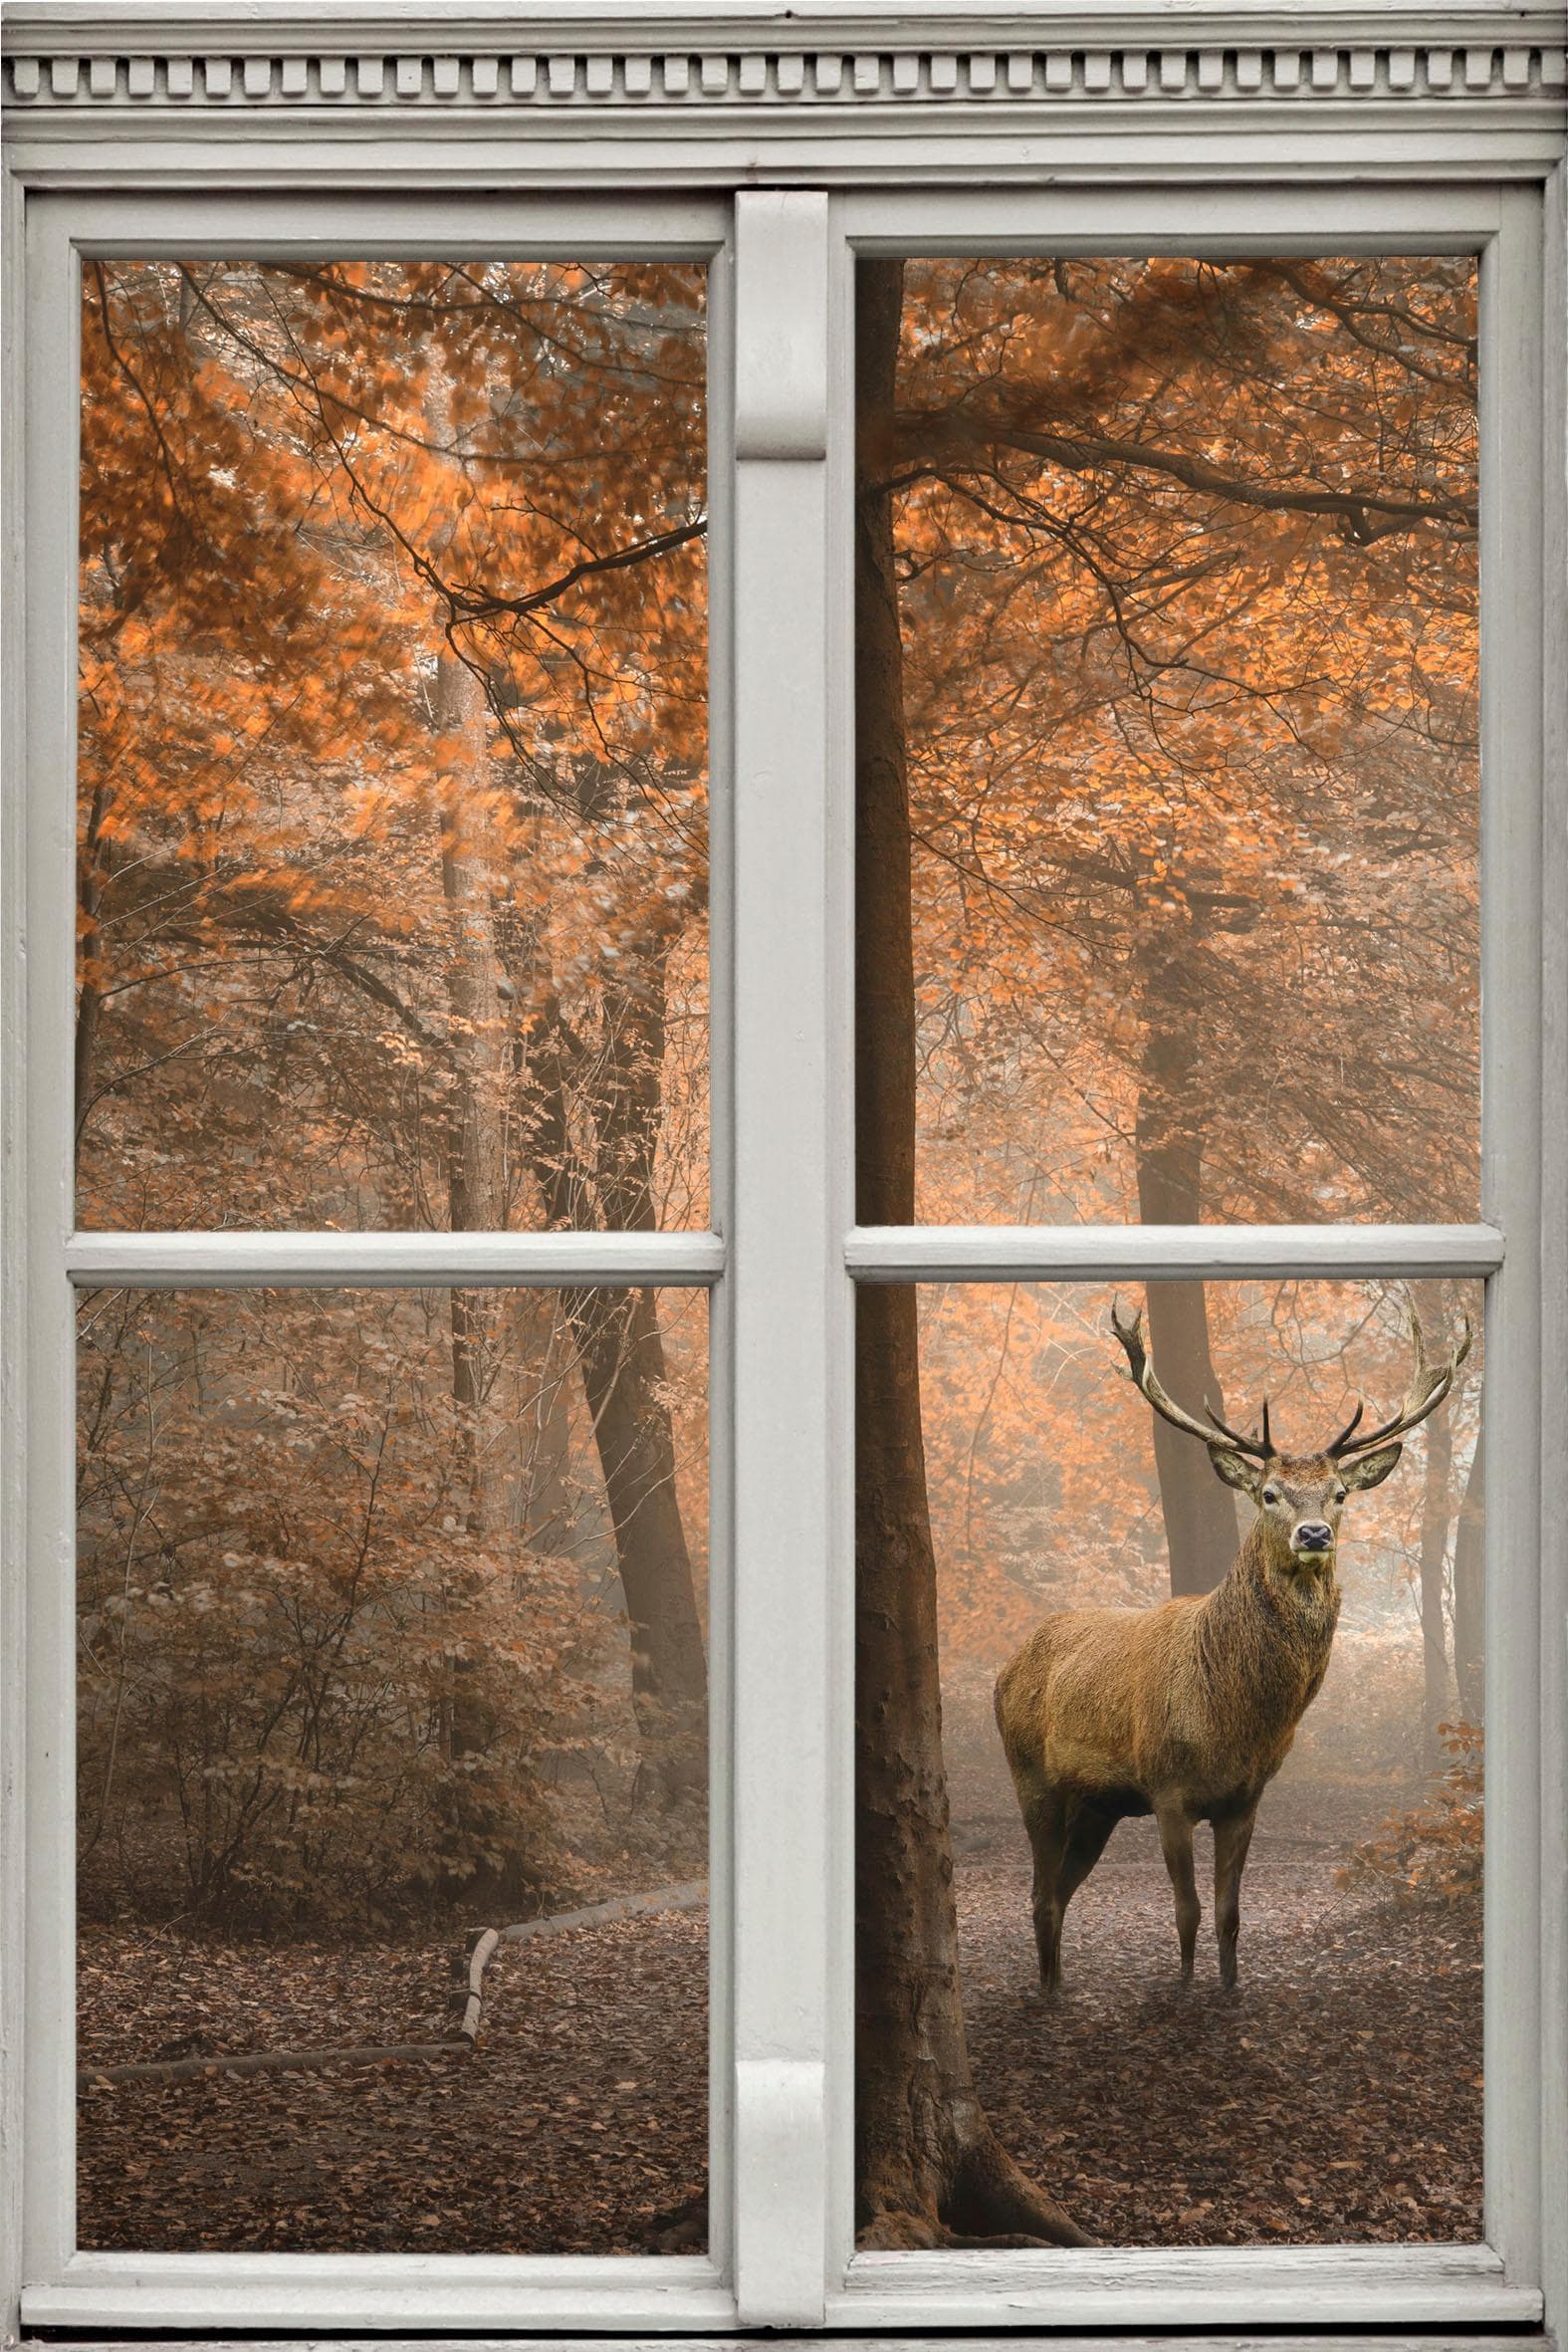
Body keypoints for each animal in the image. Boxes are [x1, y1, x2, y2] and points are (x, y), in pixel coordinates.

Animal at [994, 1299, 1470, 1994]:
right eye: (1268, 1494)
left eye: (1340, 1493)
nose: (1315, 1533)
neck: (1232, 1718)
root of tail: (1005, 1668)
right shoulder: (1167, 1790)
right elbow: (1187, 1911)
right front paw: (1185, 1990)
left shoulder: (1246, 1798)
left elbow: (1229, 1915)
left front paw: (1228, 1989)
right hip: (1030, 1775)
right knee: (1039, 1893)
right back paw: (1050, 1992)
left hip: (1098, 1804)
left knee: (1058, 1890)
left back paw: (1058, 1984)